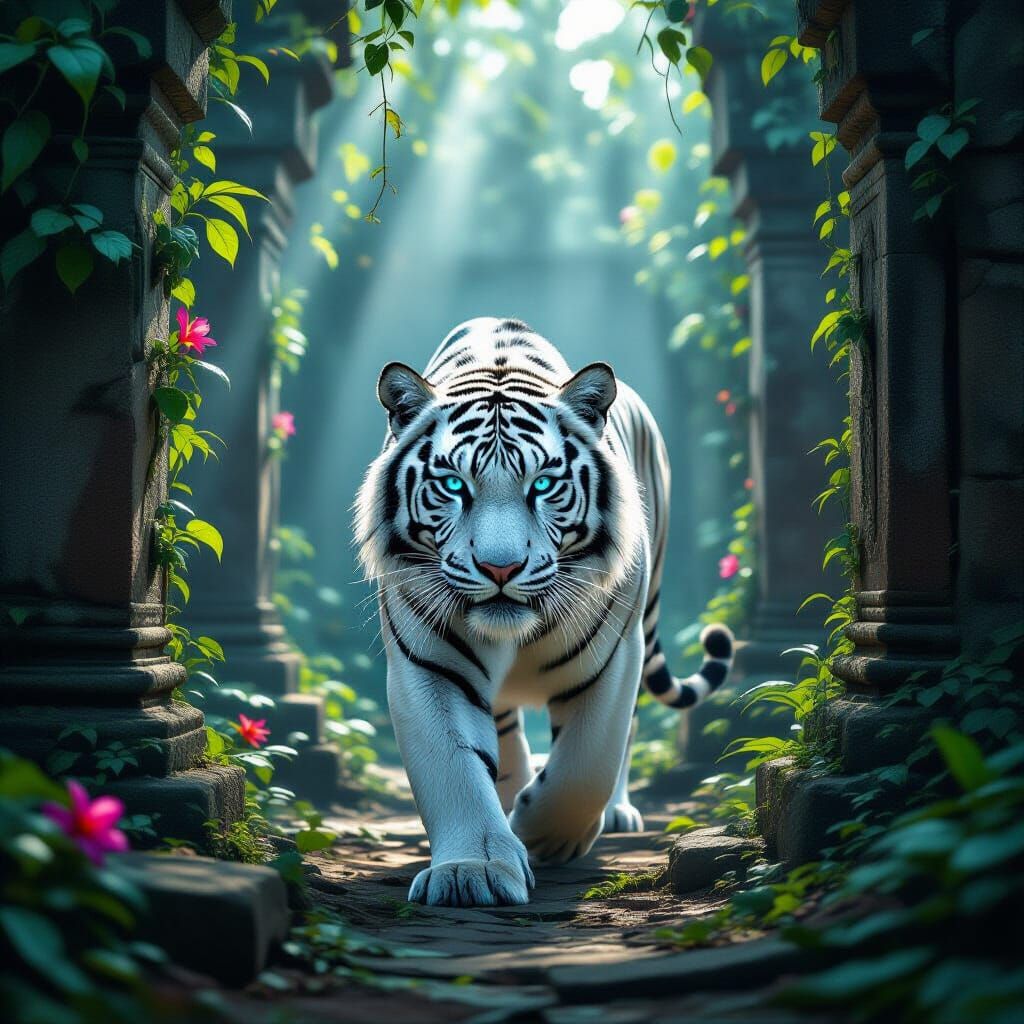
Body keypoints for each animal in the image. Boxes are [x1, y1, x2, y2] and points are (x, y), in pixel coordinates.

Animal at [355, 317, 734, 907]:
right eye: (453, 484)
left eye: (544, 484)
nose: (500, 567)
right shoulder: (429, 662)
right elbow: (455, 766)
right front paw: (473, 871)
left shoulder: (613, 656)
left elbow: (586, 764)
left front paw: (543, 836)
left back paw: (612, 812)